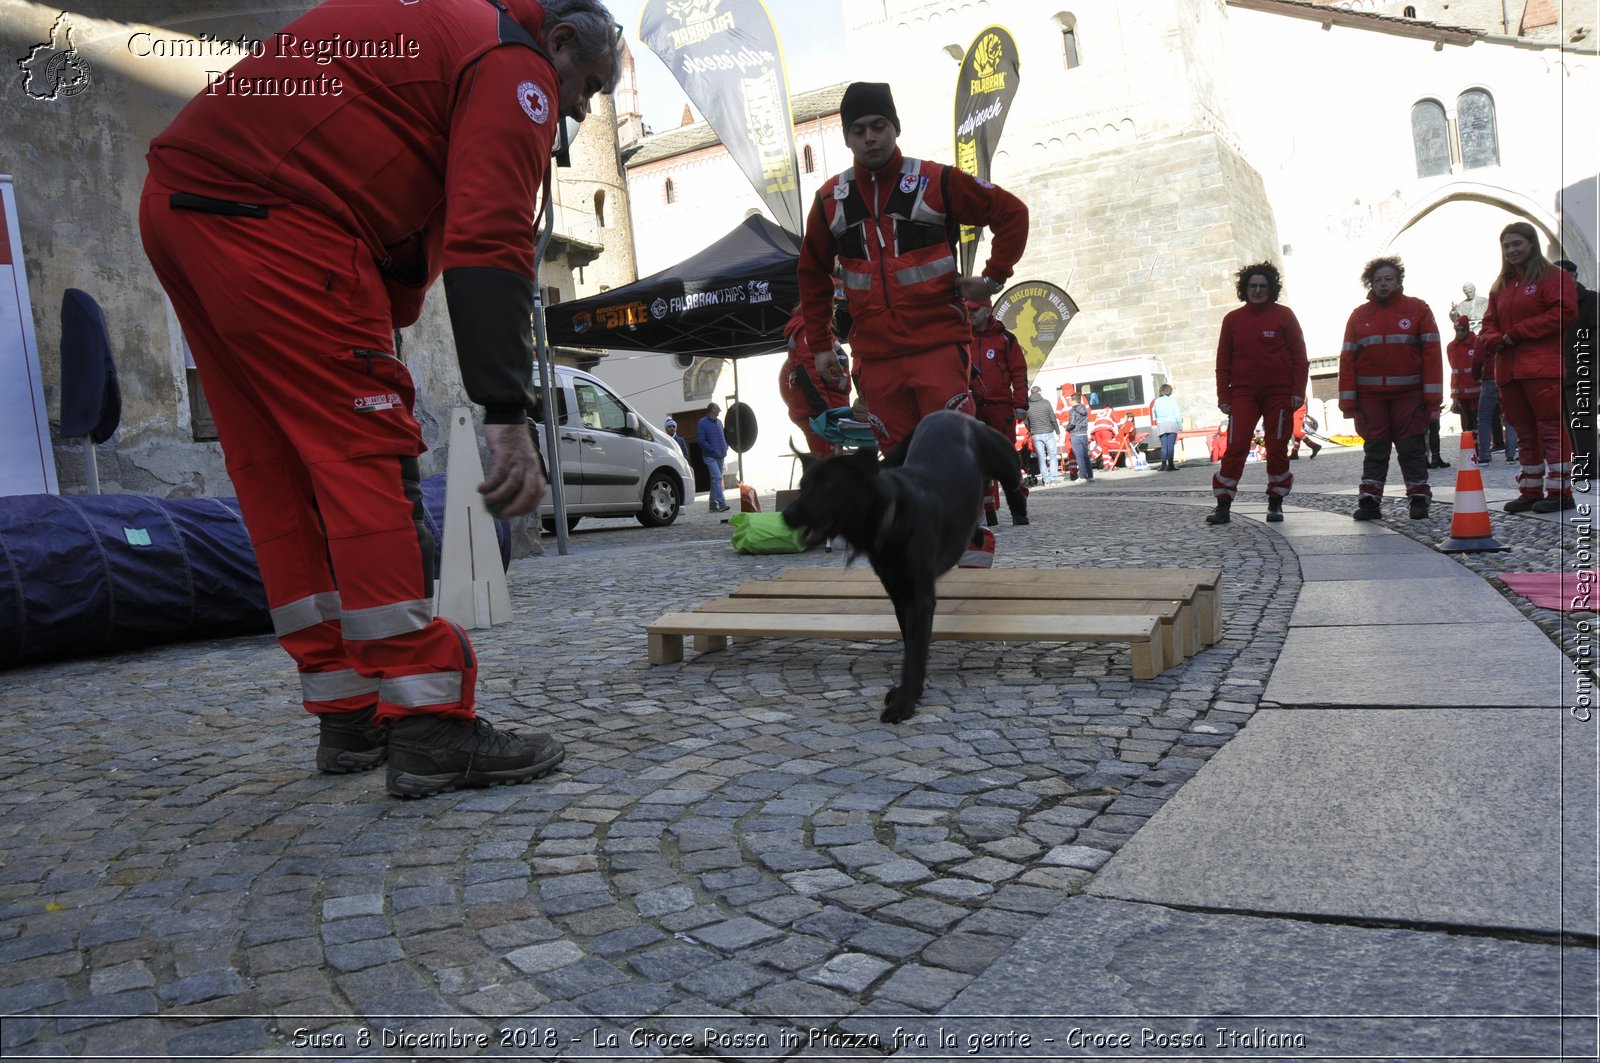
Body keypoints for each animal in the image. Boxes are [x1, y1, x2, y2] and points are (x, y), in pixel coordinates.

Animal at [784, 408, 1030, 723]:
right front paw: (911, 691)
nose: (788, 513)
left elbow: (914, 649)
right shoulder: (898, 593)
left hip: (1004, 458)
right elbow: (912, 643)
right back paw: (977, 534)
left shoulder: (919, 596)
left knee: (1014, 477)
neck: (890, 518)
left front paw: (903, 703)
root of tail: (944, 412)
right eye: (803, 486)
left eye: (828, 486)